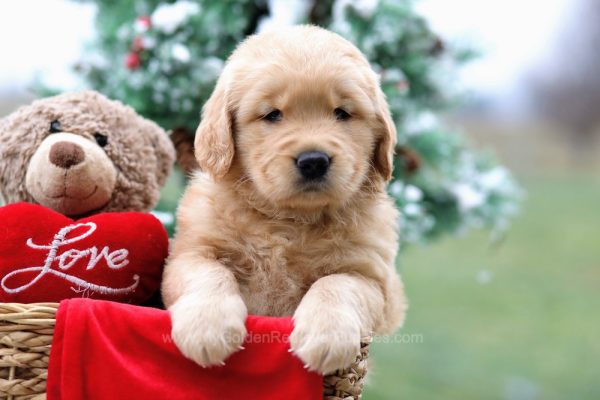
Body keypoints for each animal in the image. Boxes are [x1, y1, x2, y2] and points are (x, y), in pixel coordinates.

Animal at [162, 25, 408, 376]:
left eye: (342, 113)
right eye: (272, 115)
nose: (314, 161)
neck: (288, 221)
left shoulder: (374, 279)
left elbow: (338, 283)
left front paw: (326, 335)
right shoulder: (188, 253)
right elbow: (209, 272)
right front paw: (206, 326)